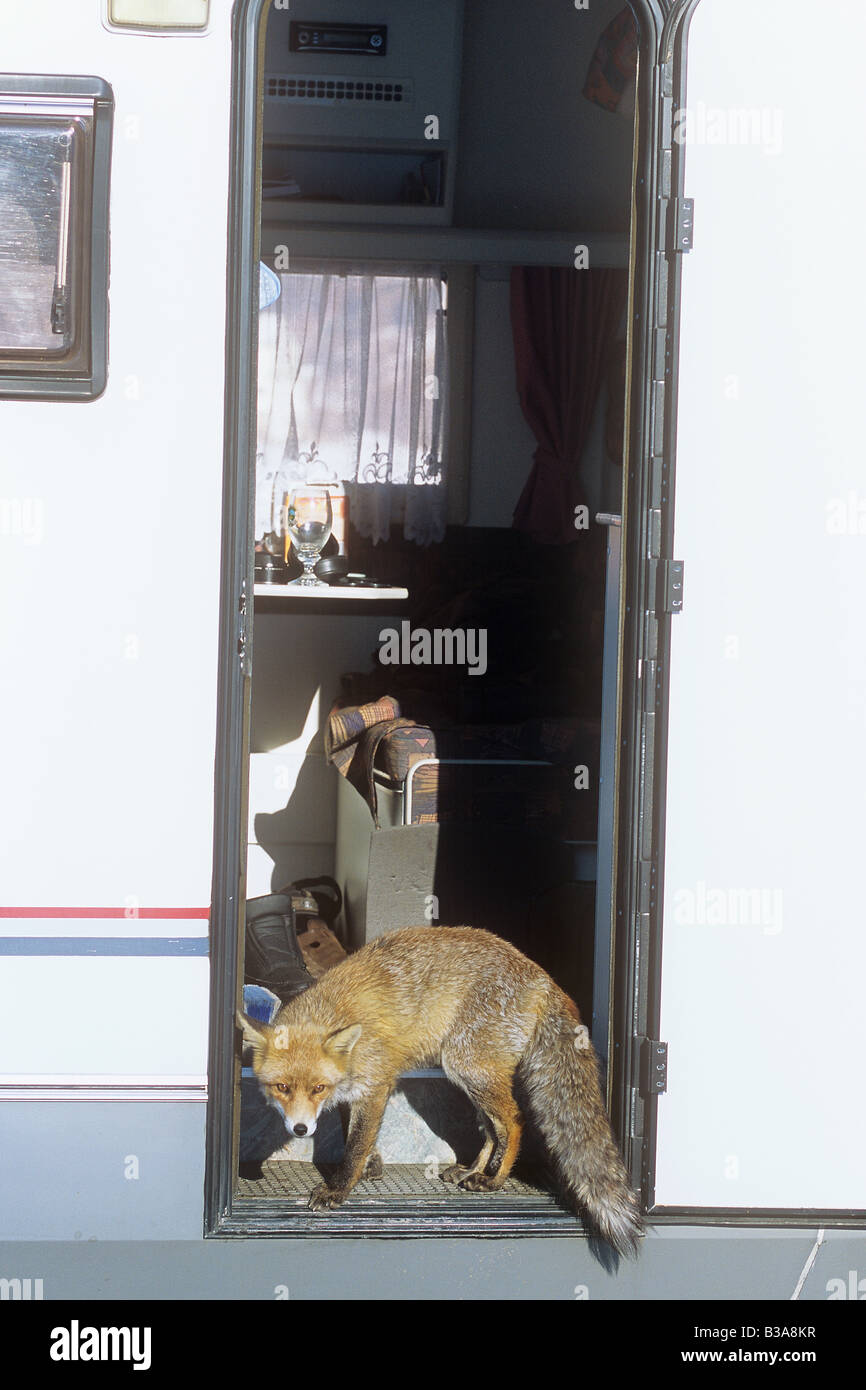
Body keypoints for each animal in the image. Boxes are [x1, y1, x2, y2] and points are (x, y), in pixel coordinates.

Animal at [238, 924, 643, 1257]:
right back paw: (469, 1171)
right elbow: (352, 1132)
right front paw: (371, 1166)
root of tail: (542, 975)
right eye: (282, 1087)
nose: (300, 1130)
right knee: (491, 1129)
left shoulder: (375, 1084)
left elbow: (355, 1144)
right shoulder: (352, 1091)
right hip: (468, 1077)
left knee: (513, 1121)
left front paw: (339, 1189)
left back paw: (494, 1179)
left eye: (317, 1087)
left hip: (467, 1065)